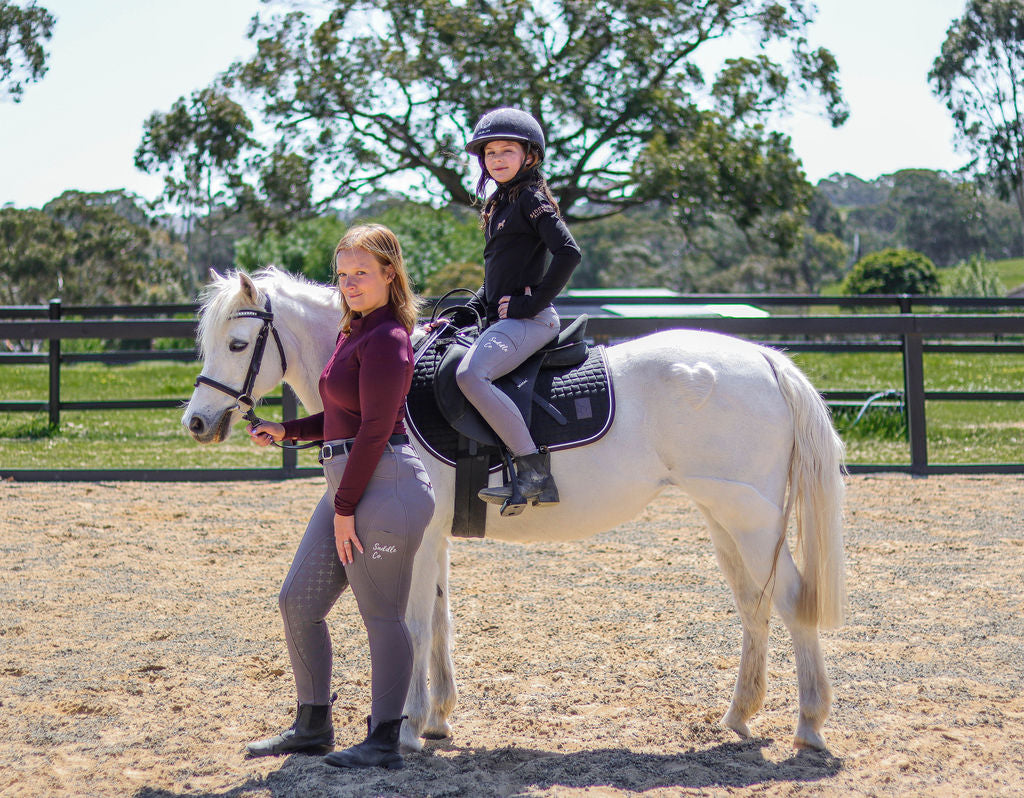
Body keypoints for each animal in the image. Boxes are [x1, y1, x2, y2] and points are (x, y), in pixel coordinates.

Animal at [184, 268, 847, 753]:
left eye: (238, 344)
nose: (196, 421)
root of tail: (764, 360)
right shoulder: (435, 537)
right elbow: (440, 621)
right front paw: (437, 720)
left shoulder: (417, 537)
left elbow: (414, 623)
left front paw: (408, 727)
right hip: (725, 519)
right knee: (754, 604)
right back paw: (740, 715)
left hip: (751, 521)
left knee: (791, 602)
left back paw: (810, 725)